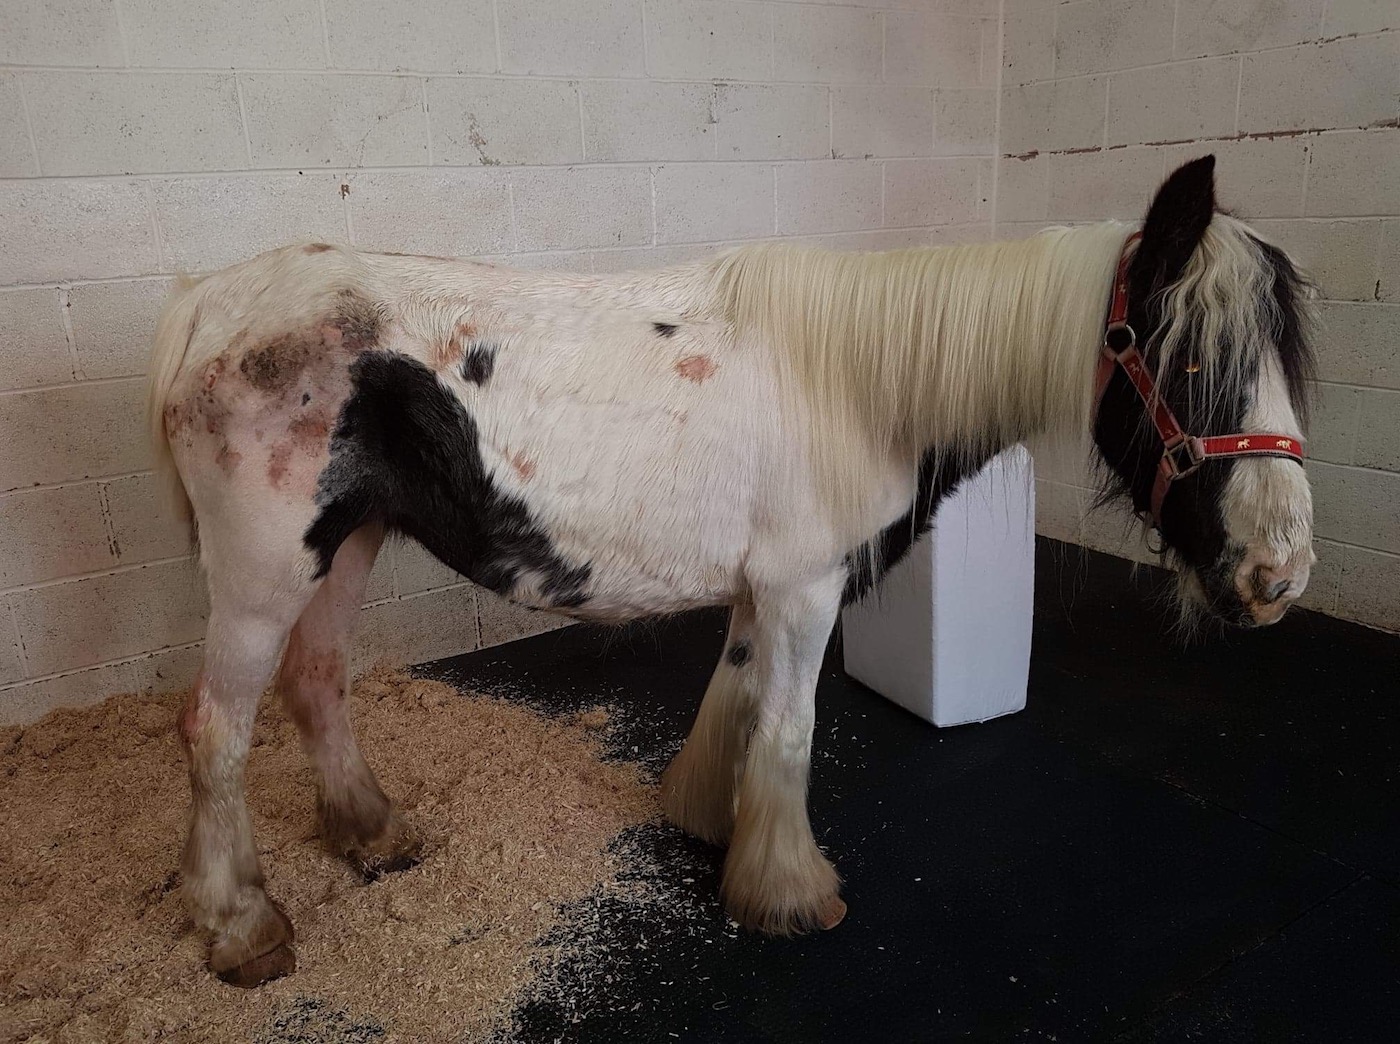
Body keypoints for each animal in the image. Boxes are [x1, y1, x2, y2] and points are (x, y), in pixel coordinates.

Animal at [147, 155, 1316, 987]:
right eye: (1187, 355)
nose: (1278, 573)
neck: (857, 380)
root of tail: (207, 304)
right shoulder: (806, 585)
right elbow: (792, 728)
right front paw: (791, 891)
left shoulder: (767, 589)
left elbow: (738, 702)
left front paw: (713, 823)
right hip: (264, 574)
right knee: (217, 730)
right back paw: (241, 927)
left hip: (345, 544)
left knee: (317, 686)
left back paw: (372, 835)